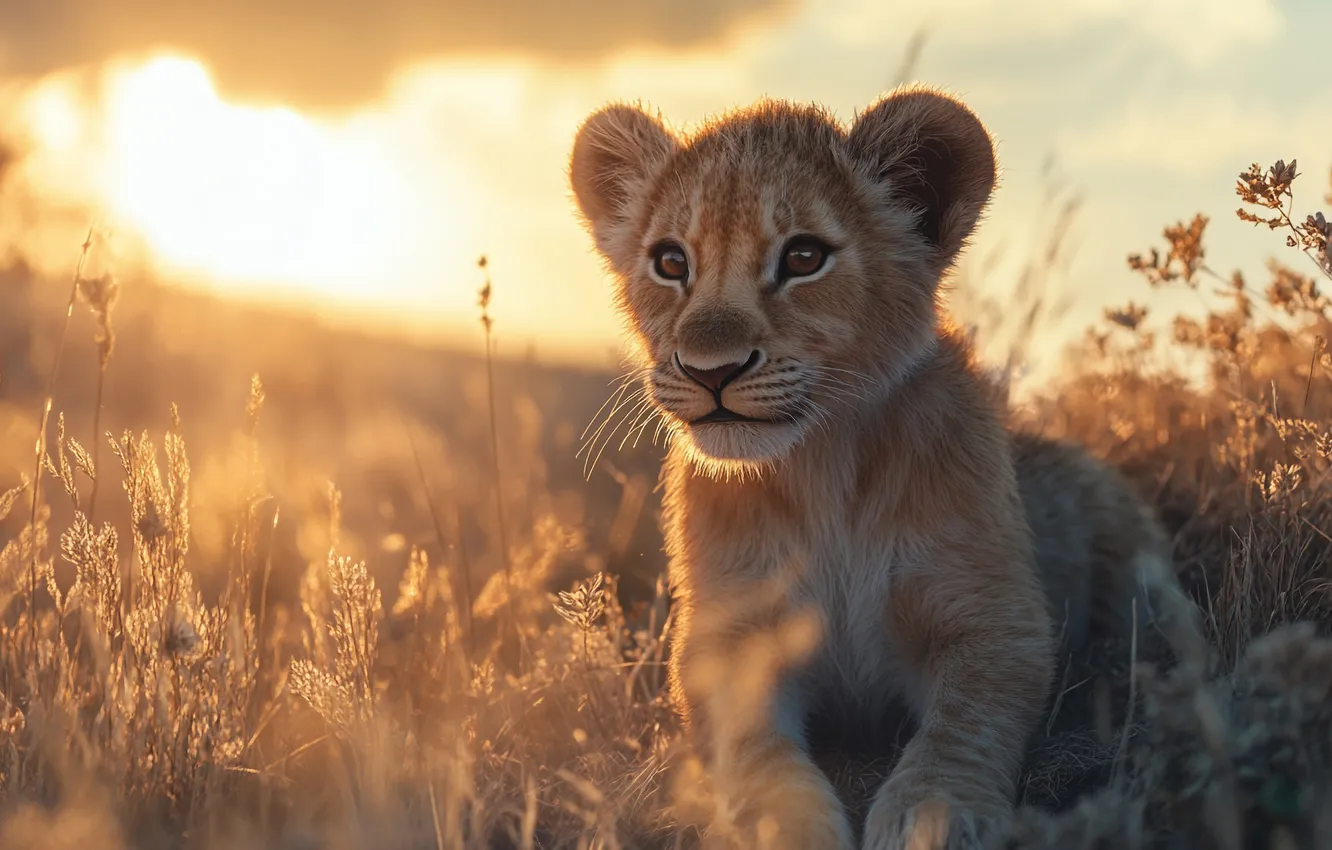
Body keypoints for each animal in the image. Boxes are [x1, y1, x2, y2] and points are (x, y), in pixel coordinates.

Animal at [568, 86, 1203, 850]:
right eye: (670, 262)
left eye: (803, 256)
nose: (708, 370)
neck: (823, 464)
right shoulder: (727, 640)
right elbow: (754, 752)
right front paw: (787, 826)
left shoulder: (994, 619)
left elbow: (962, 728)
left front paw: (933, 816)